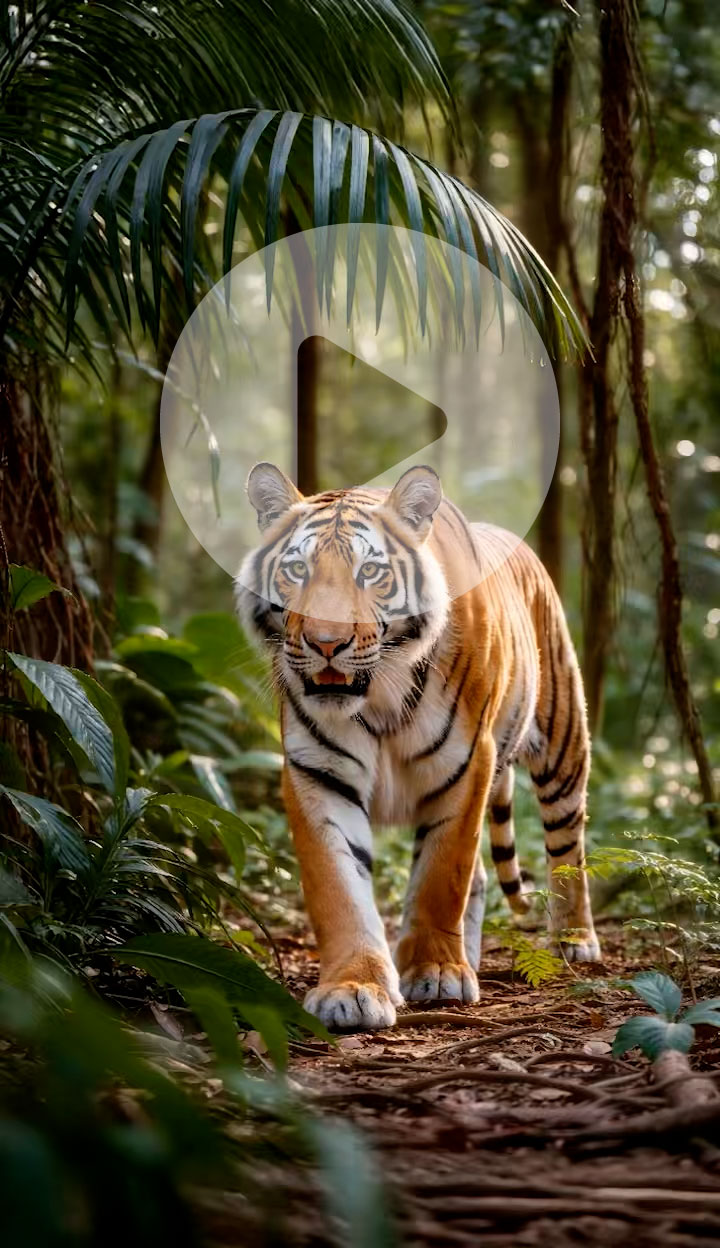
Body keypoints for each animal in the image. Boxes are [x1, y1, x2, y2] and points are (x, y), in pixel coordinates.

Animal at [236, 461, 600, 1030]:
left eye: (370, 572)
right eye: (297, 570)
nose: (325, 642)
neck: (379, 693)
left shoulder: (467, 763)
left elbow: (441, 876)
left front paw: (437, 973)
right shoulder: (318, 772)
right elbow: (338, 888)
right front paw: (352, 988)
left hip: (563, 744)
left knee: (567, 846)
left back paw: (574, 939)